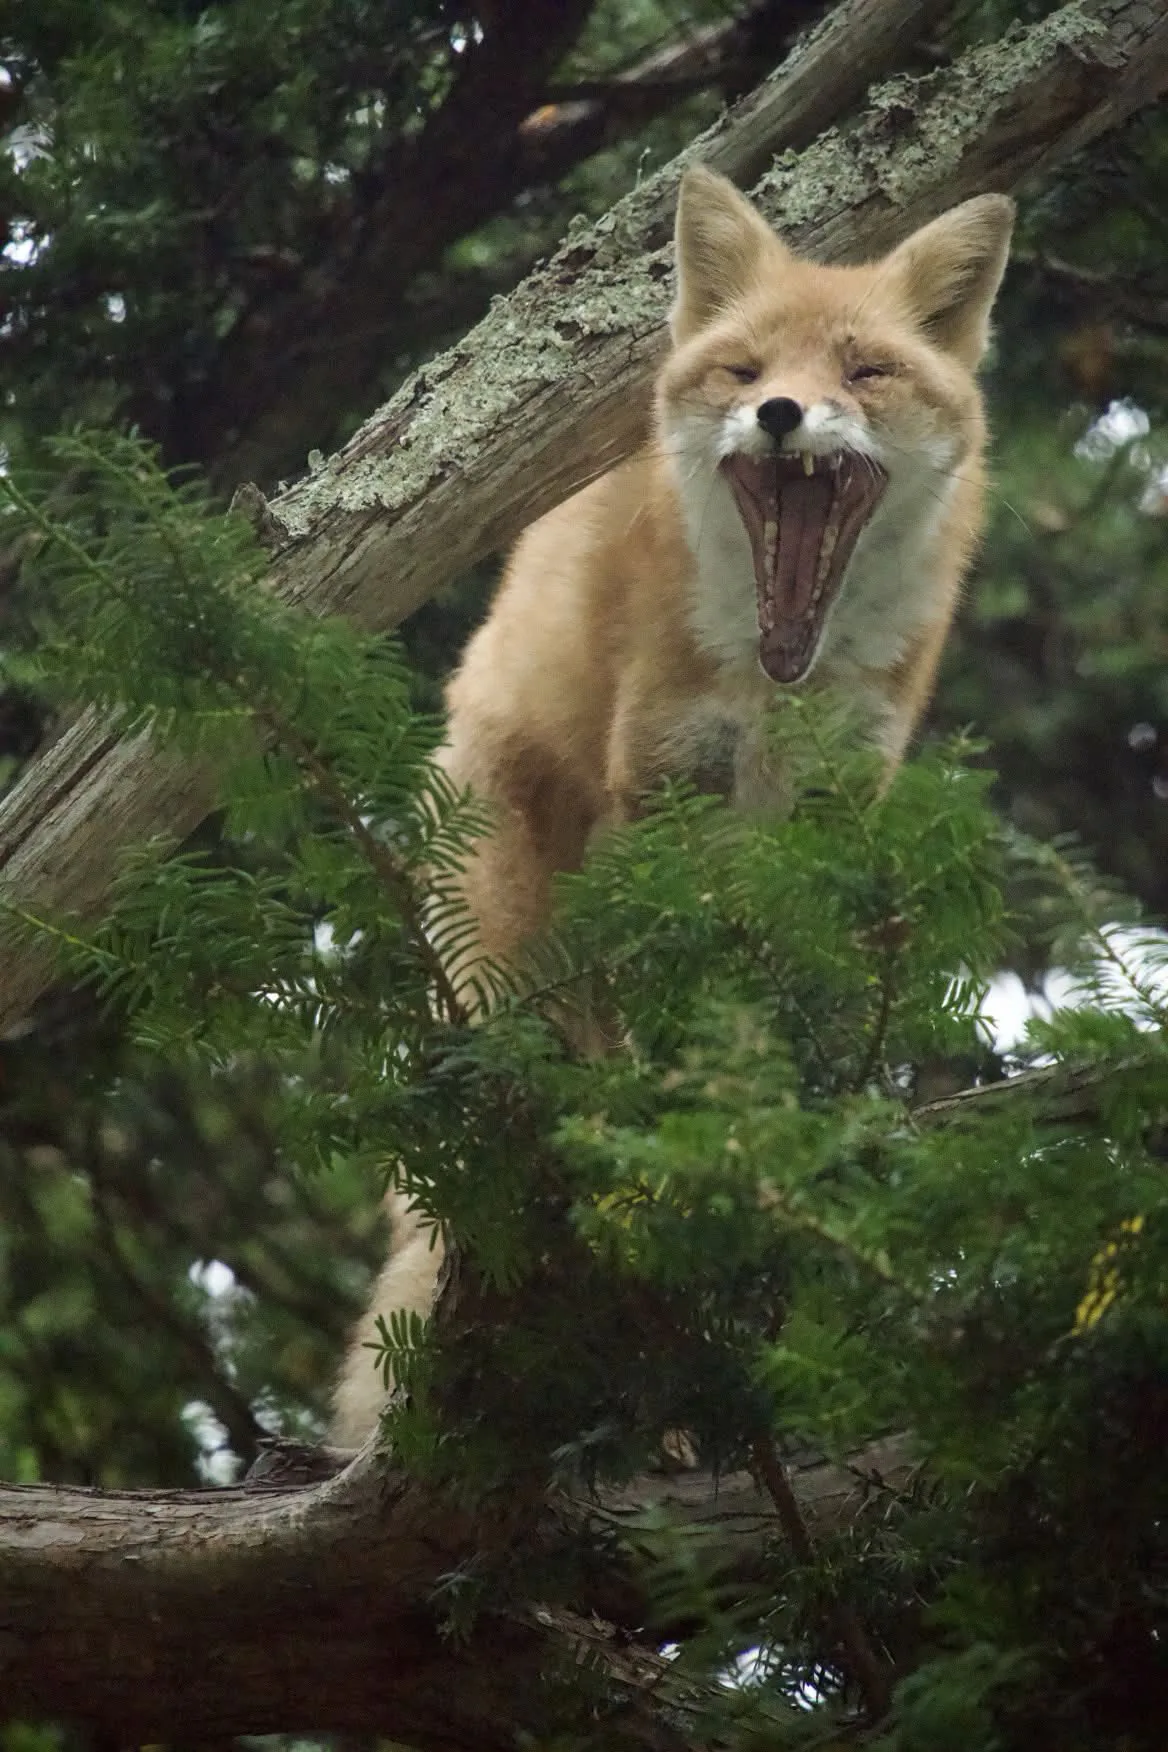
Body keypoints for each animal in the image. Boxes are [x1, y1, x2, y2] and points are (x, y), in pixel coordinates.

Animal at [330, 166, 1014, 1445]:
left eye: (865, 371)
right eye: (743, 372)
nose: (784, 417)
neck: (775, 689)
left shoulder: (843, 807)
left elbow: (818, 1016)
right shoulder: (661, 791)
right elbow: (673, 1017)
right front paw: (704, 1151)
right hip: (520, 958)